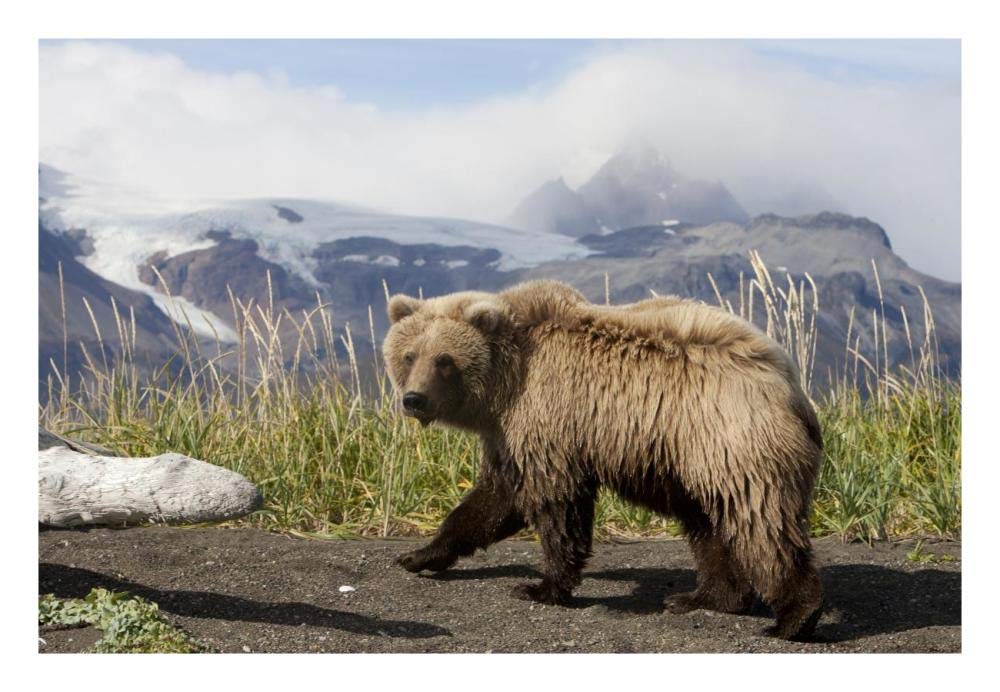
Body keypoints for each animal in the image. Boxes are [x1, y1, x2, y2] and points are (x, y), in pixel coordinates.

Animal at [382, 279, 824, 640]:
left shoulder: (548, 416)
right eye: (409, 355)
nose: (414, 399)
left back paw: (794, 618)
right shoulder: (509, 433)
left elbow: (555, 503)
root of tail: (788, 380)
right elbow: (492, 501)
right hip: (693, 458)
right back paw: (703, 597)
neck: (503, 384)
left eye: (444, 359)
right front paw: (417, 555)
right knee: (708, 524)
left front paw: (541, 587)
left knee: (760, 520)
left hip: (729, 439)